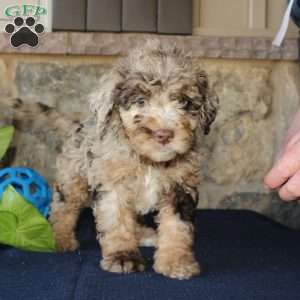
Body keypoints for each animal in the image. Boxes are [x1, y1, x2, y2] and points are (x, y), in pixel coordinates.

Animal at [7, 39, 219, 278]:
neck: (148, 161)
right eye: (140, 101)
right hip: (72, 179)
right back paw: (59, 238)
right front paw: (123, 257)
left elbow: (177, 227)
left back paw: (144, 234)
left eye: (184, 102)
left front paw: (177, 262)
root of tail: (77, 127)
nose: (163, 134)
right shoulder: (113, 186)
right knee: (64, 208)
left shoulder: (180, 189)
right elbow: (117, 223)